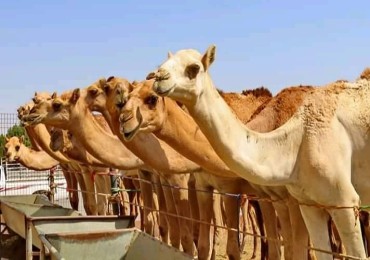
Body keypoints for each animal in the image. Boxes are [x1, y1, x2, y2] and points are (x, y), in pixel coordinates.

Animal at [149, 45, 370, 258]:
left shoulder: (344, 202)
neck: (295, 144)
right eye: (163, 63)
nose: (158, 77)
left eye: (194, 68)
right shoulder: (307, 204)